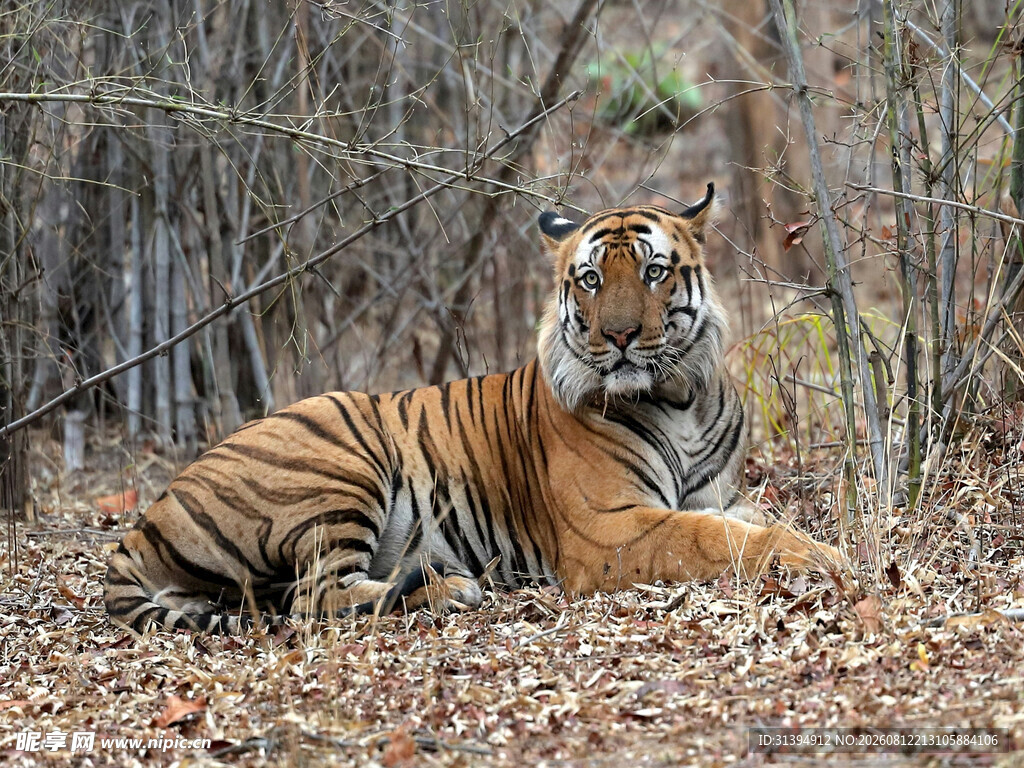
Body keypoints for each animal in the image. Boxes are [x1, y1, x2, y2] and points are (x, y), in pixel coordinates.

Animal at [104, 183, 841, 634]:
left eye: (654, 271)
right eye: (590, 279)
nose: (620, 335)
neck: (677, 395)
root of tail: (145, 522)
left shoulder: (721, 496)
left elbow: (753, 522)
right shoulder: (612, 527)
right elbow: (711, 538)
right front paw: (819, 558)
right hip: (339, 459)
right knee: (314, 597)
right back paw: (449, 589)